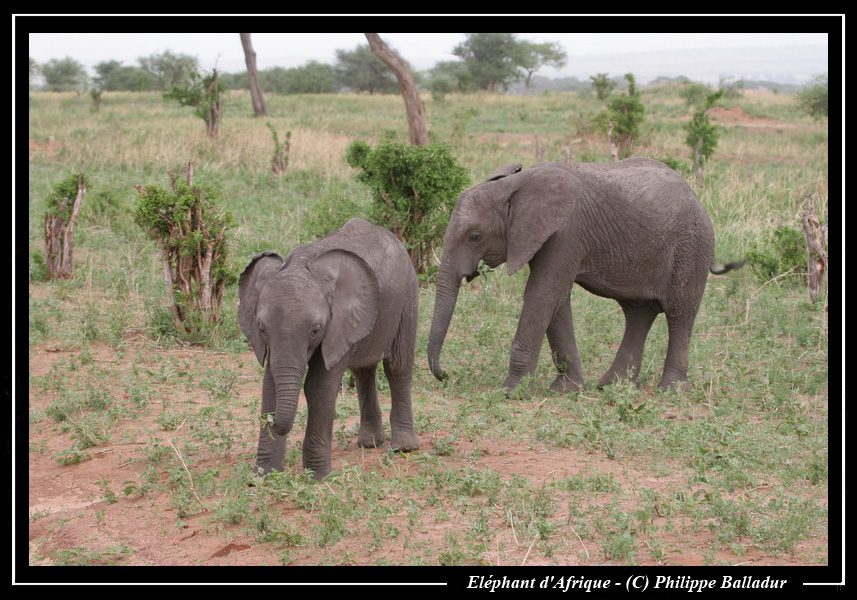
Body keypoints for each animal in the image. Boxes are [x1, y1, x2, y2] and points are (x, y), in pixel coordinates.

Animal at [239, 218, 420, 480]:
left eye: (315, 330)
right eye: (261, 329)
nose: (274, 422)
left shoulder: (339, 323)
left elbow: (318, 386)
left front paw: (317, 477)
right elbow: (270, 384)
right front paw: (263, 477)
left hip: (408, 294)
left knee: (397, 366)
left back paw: (403, 448)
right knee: (363, 370)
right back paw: (370, 444)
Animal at [426, 158, 744, 394]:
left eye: (474, 236)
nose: (446, 375)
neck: (514, 185)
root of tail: (697, 198)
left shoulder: (566, 233)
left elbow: (542, 293)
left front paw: (510, 392)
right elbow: (556, 300)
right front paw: (567, 390)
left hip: (692, 247)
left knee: (680, 314)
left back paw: (670, 390)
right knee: (639, 313)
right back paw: (612, 386)